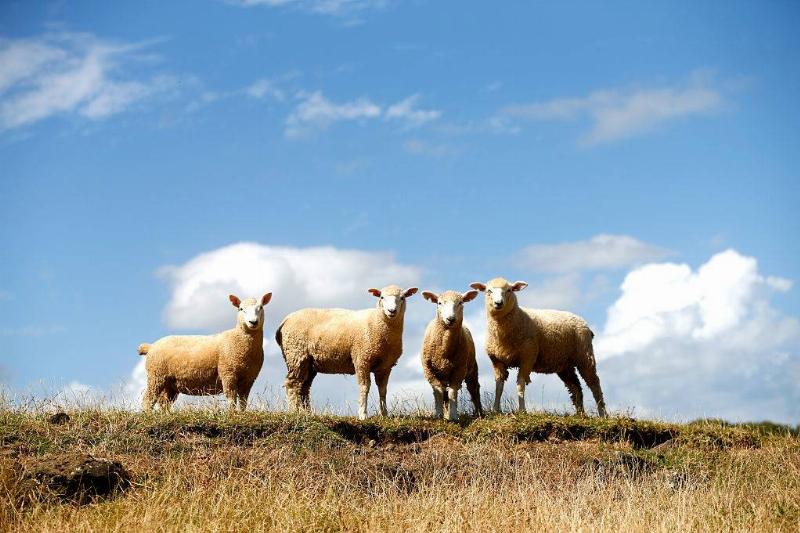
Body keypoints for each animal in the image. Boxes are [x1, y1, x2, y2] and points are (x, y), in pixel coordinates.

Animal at [137, 292, 272, 411]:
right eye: (241, 309)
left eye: (260, 308)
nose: (253, 322)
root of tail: (151, 346)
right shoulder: (228, 373)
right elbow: (231, 400)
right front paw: (232, 414)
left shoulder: (249, 379)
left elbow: (243, 402)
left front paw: (242, 414)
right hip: (156, 375)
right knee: (148, 399)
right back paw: (148, 414)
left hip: (169, 383)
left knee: (164, 403)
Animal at [275, 285, 418, 420]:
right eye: (381, 297)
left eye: (402, 298)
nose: (391, 311)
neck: (378, 324)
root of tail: (285, 320)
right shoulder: (361, 359)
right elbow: (364, 387)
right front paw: (363, 414)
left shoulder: (385, 366)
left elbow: (383, 390)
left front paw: (384, 414)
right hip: (296, 354)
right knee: (292, 383)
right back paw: (295, 411)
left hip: (309, 363)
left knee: (304, 387)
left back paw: (307, 413)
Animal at [420, 289, 484, 420]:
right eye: (439, 303)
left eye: (461, 302)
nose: (451, 318)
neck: (444, 351)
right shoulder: (429, 371)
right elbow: (438, 392)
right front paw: (439, 415)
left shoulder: (459, 370)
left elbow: (453, 393)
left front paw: (453, 416)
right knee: (444, 393)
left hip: (471, 368)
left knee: (474, 389)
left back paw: (479, 413)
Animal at [469, 278, 607, 417]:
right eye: (489, 291)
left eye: (509, 290)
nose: (498, 303)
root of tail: (584, 323)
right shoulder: (497, 361)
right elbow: (499, 386)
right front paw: (495, 410)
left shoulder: (527, 357)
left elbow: (520, 384)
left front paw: (522, 410)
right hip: (564, 364)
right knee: (576, 388)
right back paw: (580, 414)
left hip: (585, 356)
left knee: (594, 384)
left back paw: (602, 413)